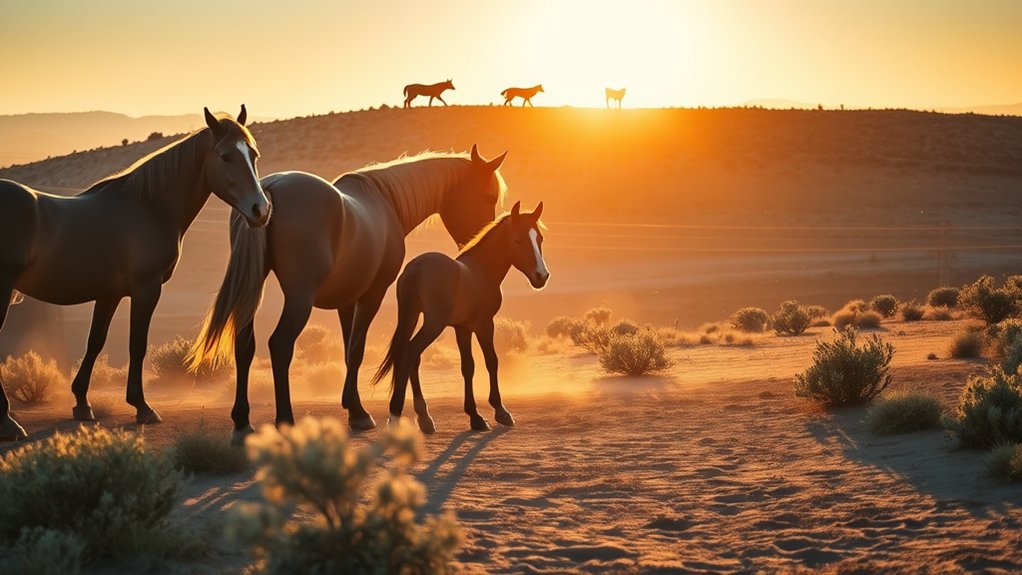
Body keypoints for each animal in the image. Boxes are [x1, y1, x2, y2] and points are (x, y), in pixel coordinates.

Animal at [0, 106, 270, 441]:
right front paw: (142, 407)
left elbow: (95, 342)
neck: (150, 206)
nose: (261, 210)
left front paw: (82, 403)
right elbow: (137, 345)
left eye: (254, 154)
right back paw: (9, 423)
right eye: (226, 157)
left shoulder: (109, 294)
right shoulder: (146, 288)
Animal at [188, 145, 509, 443]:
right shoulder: (372, 295)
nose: (478, 240)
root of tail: (269, 190)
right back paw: (286, 422)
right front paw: (361, 415)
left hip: (254, 287)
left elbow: (347, 350)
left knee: (244, 345)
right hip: (299, 299)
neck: (386, 200)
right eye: (488, 197)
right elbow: (357, 349)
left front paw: (353, 407)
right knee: (280, 344)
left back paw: (242, 423)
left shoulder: (347, 301)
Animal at [373, 201, 549, 433]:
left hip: (413, 317)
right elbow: (491, 361)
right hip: (433, 324)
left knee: (411, 355)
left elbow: (468, 367)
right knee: (410, 352)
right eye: (517, 239)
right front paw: (501, 411)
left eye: (539, 238)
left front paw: (475, 416)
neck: (482, 269)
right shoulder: (485, 325)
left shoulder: (462, 328)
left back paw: (424, 418)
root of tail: (415, 269)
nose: (542, 276)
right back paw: (395, 417)